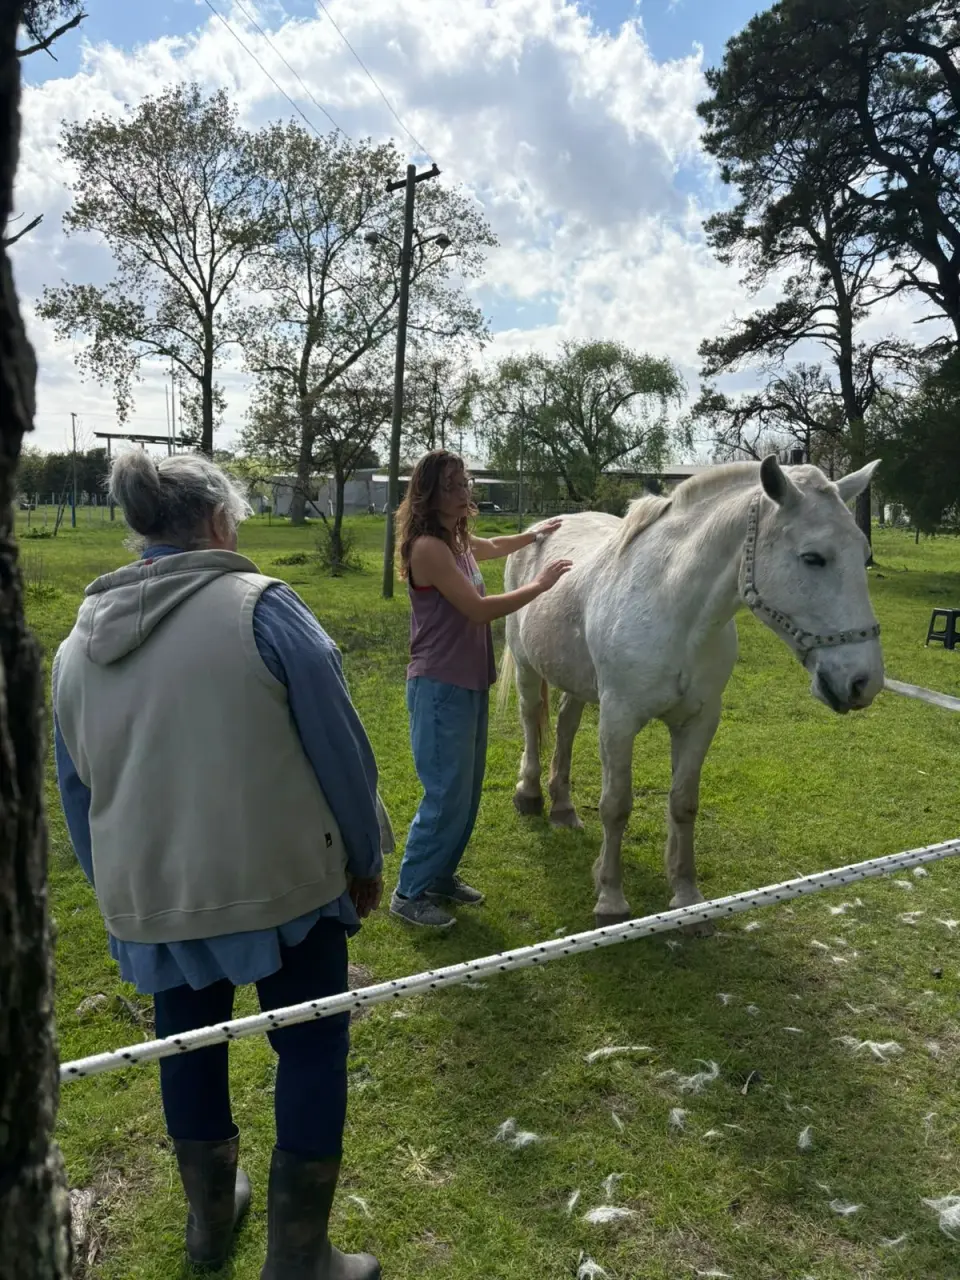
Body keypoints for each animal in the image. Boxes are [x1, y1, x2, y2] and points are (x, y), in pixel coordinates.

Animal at [498, 456, 884, 929]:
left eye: (863, 554)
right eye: (813, 558)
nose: (863, 681)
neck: (673, 607)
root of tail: (540, 529)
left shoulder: (699, 720)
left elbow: (684, 803)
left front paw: (686, 897)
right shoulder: (619, 719)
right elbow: (615, 805)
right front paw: (610, 898)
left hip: (580, 683)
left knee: (566, 727)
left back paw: (563, 808)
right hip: (527, 666)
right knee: (531, 719)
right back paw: (530, 795)